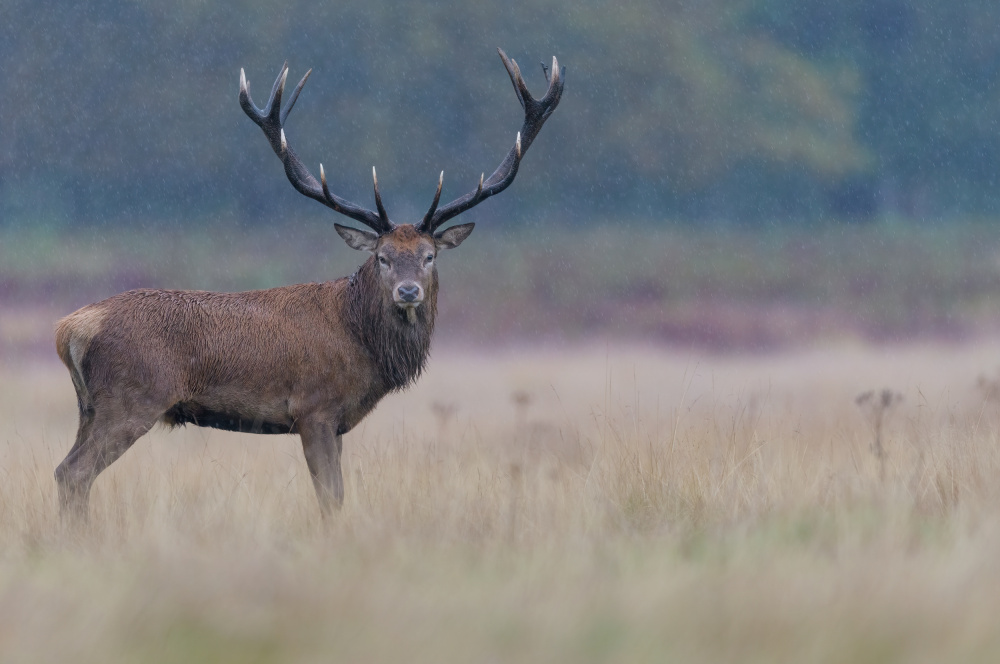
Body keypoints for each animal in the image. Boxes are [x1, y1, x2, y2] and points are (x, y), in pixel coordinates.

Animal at [52, 49, 564, 520]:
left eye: (429, 256)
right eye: (381, 257)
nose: (408, 291)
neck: (362, 344)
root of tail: (69, 329)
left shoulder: (335, 423)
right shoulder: (315, 409)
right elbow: (331, 498)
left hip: (89, 407)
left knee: (63, 469)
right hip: (132, 398)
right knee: (75, 472)